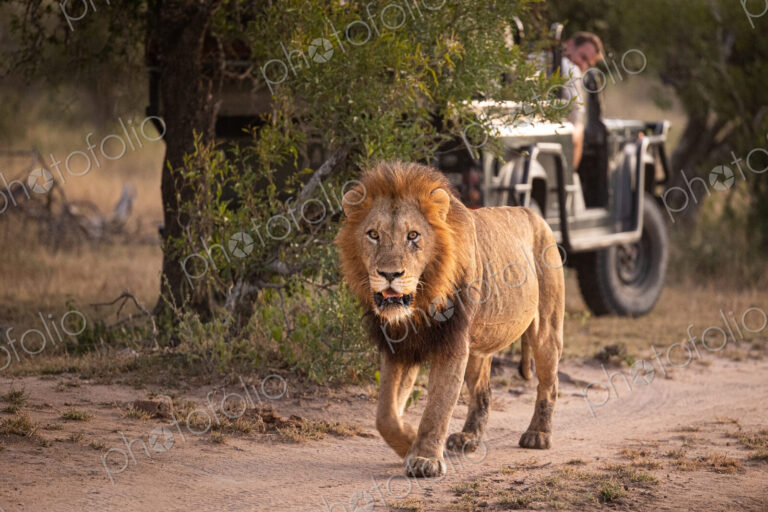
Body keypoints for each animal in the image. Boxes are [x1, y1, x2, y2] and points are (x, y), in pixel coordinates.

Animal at [336, 161, 564, 478]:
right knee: (483, 391)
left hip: (546, 329)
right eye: (373, 234)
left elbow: (438, 406)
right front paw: (408, 441)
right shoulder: (400, 347)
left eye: (413, 236)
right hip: (478, 345)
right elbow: (385, 414)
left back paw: (538, 434)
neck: (420, 301)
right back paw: (469, 437)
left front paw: (426, 458)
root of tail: (533, 214)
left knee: (549, 383)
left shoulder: (452, 343)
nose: (390, 274)